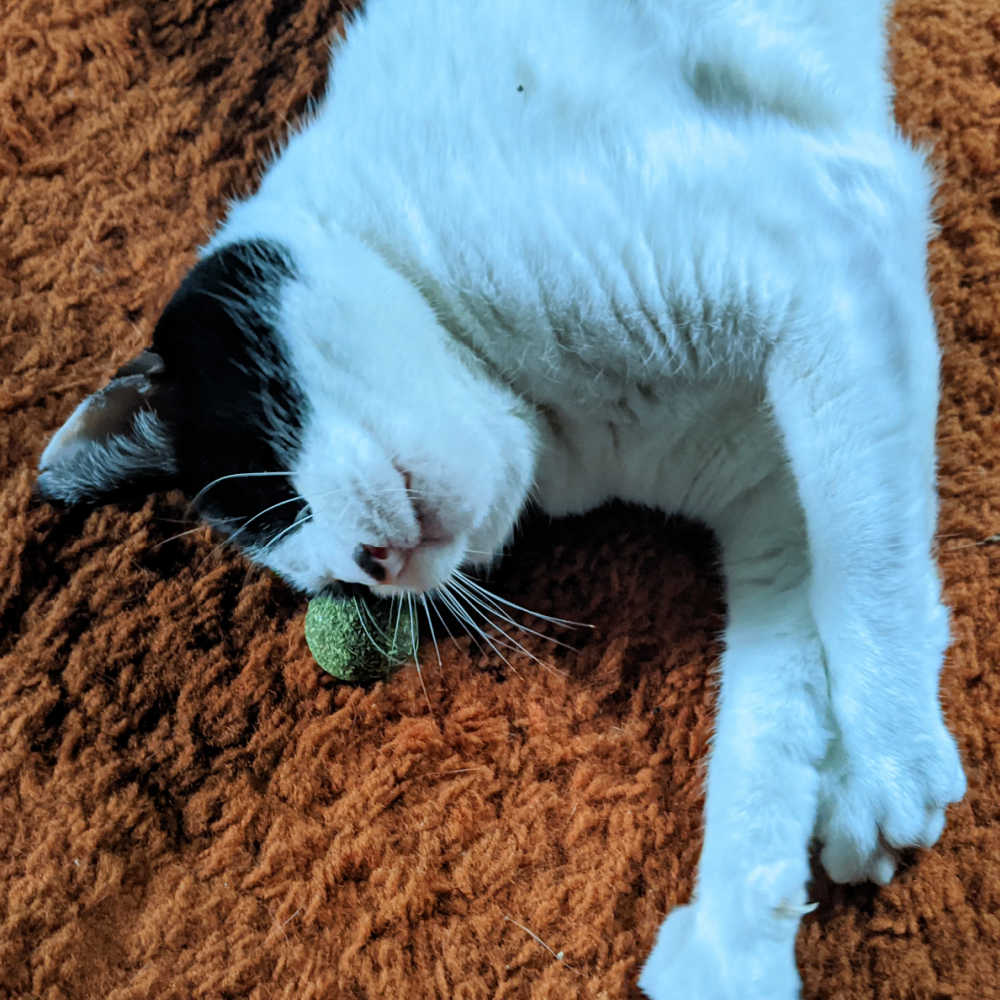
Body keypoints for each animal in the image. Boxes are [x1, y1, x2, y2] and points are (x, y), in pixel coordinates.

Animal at [35, 0, 964, 996]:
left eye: (278, 497)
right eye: (341, 589)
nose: (373, 564)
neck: (556, 413)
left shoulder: (828, 258)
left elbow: (866, 563)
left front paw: (892, 756)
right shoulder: (772, 505)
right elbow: (770, 718)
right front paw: (734, 940)